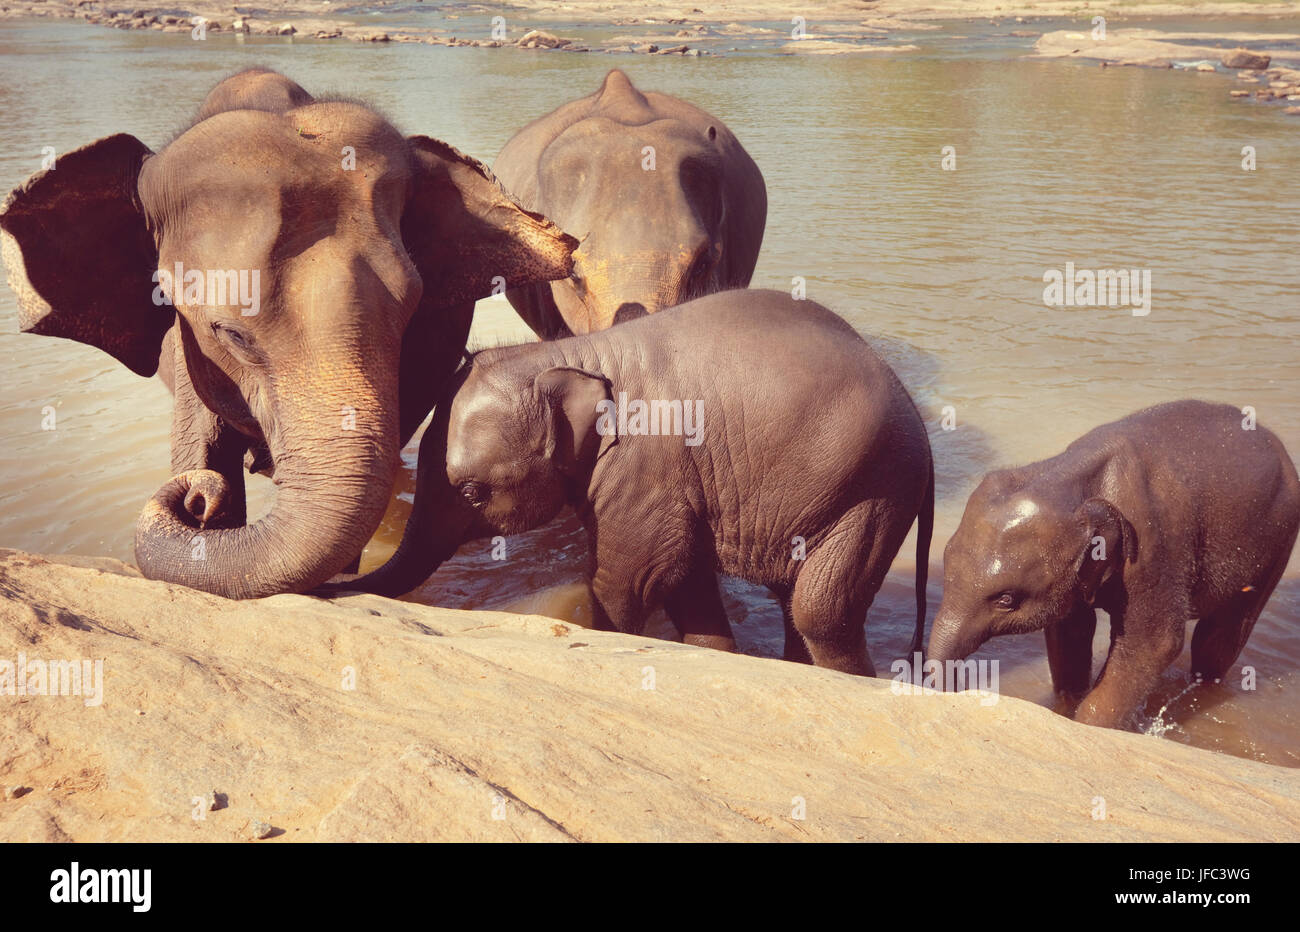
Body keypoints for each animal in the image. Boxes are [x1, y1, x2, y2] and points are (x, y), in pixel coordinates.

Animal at [0, 68, 577, 599]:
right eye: (230, 334)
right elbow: (201, 452)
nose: (195, 500)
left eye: (411, 308)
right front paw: (215, 487)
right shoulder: (186, 351)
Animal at [331, 289, 935, 676]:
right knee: (796, 604)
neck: (569, 354)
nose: (342, 581)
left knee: (820, 611)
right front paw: (715, 653)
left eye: (473, 492)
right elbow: (686, 579)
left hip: (874, 492)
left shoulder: (645, 469)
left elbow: (629, 578)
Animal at [928, 400, 1300, 729]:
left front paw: (1090, 723)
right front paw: (1065, 708)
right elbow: (1070, 631)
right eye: (947, 573)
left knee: (1221, 635)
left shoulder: (1155, 545)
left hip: (1278, 538)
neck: (1065, 473)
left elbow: (1153, 644)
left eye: (1006, 600)